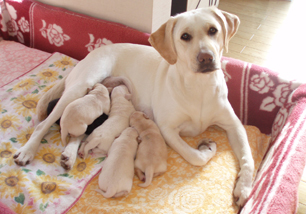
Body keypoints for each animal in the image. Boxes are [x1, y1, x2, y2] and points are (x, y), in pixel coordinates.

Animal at [13, 6, 253, 206]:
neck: (199, 87)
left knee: (78, 133)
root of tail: (88, 55)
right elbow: (195, 156)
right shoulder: (167, 130)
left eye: (213, 30)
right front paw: (206, 148)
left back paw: (70, 154)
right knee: (44, 124)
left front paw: (244, 188)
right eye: (185, 36)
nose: (206, 58)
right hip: (79, 88)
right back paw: (27, 151)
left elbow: (247, 157)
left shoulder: (234, 125)